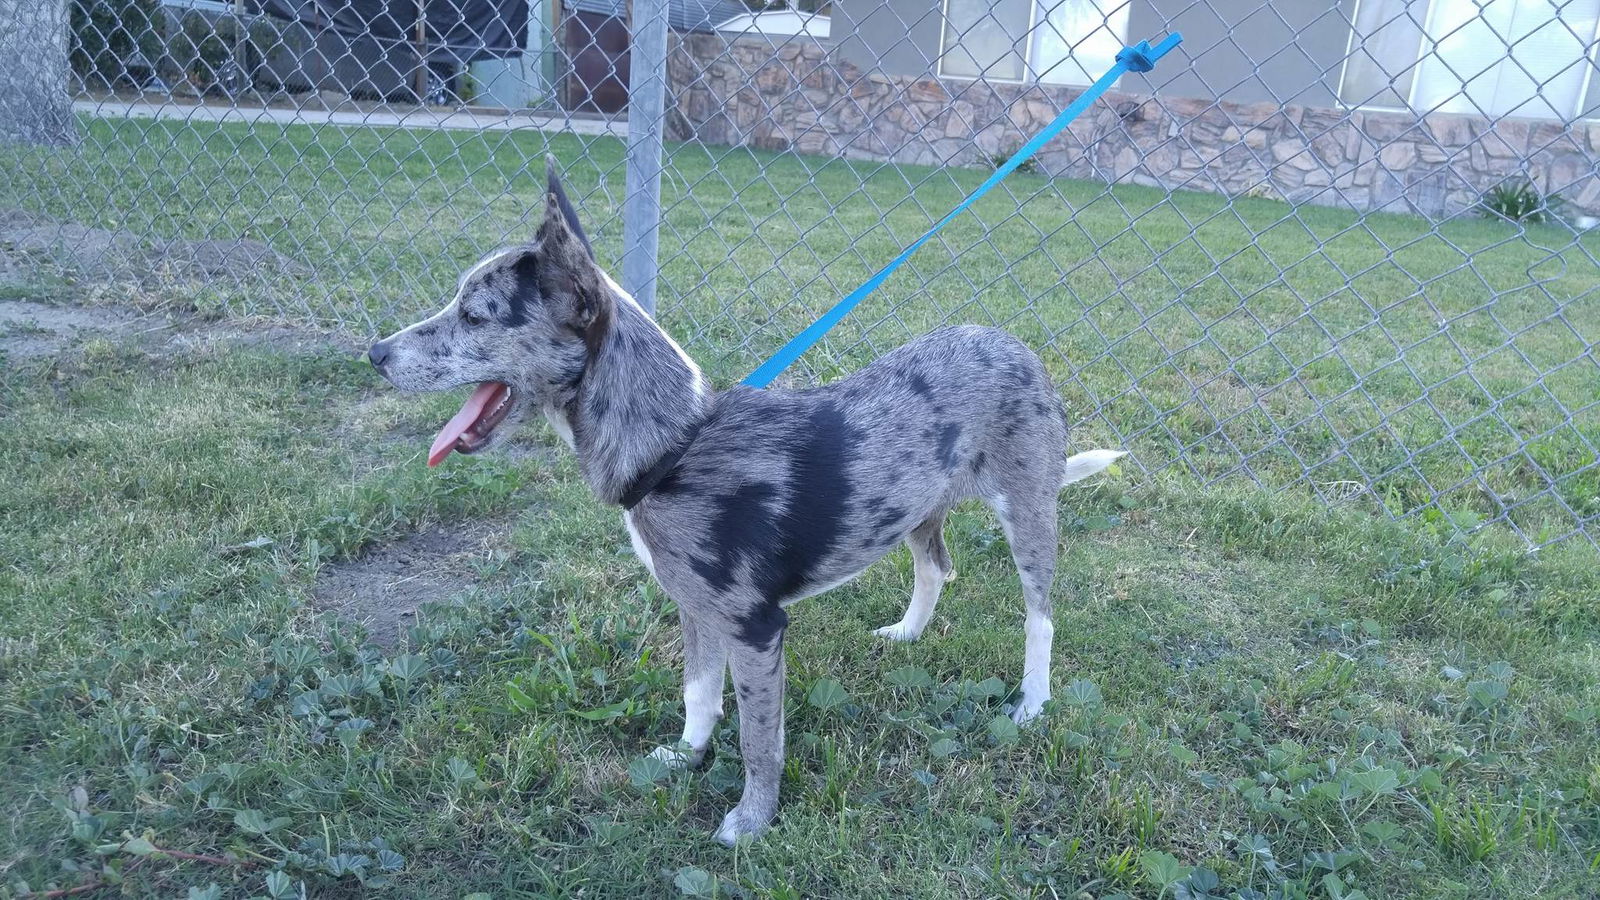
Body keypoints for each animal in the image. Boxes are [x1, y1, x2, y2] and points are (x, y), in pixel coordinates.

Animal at [371, 160, 1126, 839]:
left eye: (475, 316)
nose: (374, 353)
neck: (674, 446)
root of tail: (1016, 346)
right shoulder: (695, 609)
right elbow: (698, 696)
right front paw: (683, 757)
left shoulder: (757, 630)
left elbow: (761, 740)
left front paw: (752, 821)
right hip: (916, 509)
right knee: (936, 566)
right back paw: (908, 633)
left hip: (1028, 512)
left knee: (1040, 616)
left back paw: (1032, 701)